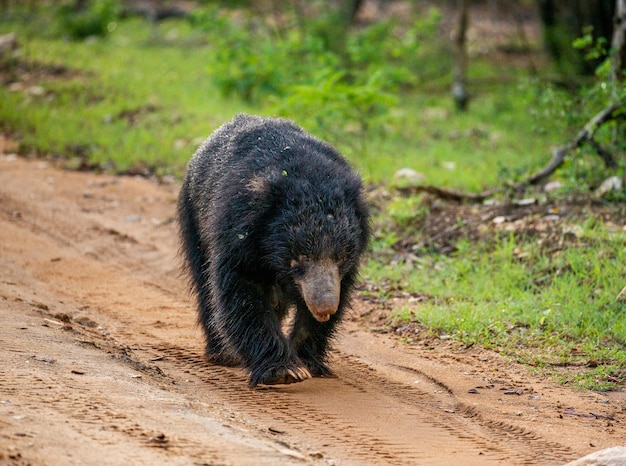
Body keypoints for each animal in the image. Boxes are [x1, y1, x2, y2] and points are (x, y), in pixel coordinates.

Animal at [176, 114, 368, 388]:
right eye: (302, 256)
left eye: (341, 257)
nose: (324, 307)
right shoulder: (240, 233)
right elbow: (243, 290)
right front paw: (286, 370)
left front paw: (305, 360)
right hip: (194, 219)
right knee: (206, 286)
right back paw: (221, 353)